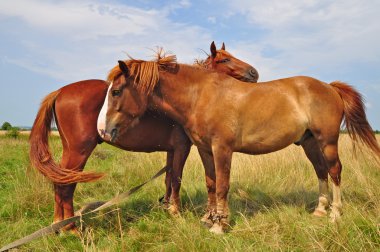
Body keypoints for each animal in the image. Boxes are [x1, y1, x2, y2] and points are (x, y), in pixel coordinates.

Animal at [29, 41, 258, 232]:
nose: (254, 73)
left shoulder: (171, 150)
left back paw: (58, 224)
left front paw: (166, 207)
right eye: (225, 59)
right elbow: (177, 178)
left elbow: (168, 179)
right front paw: (176, 212)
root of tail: (60, 91)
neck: (189, 98)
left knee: (59, 182)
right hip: (78, 151)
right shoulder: (182, 148)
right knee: (65, 185)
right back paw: (69, 228)